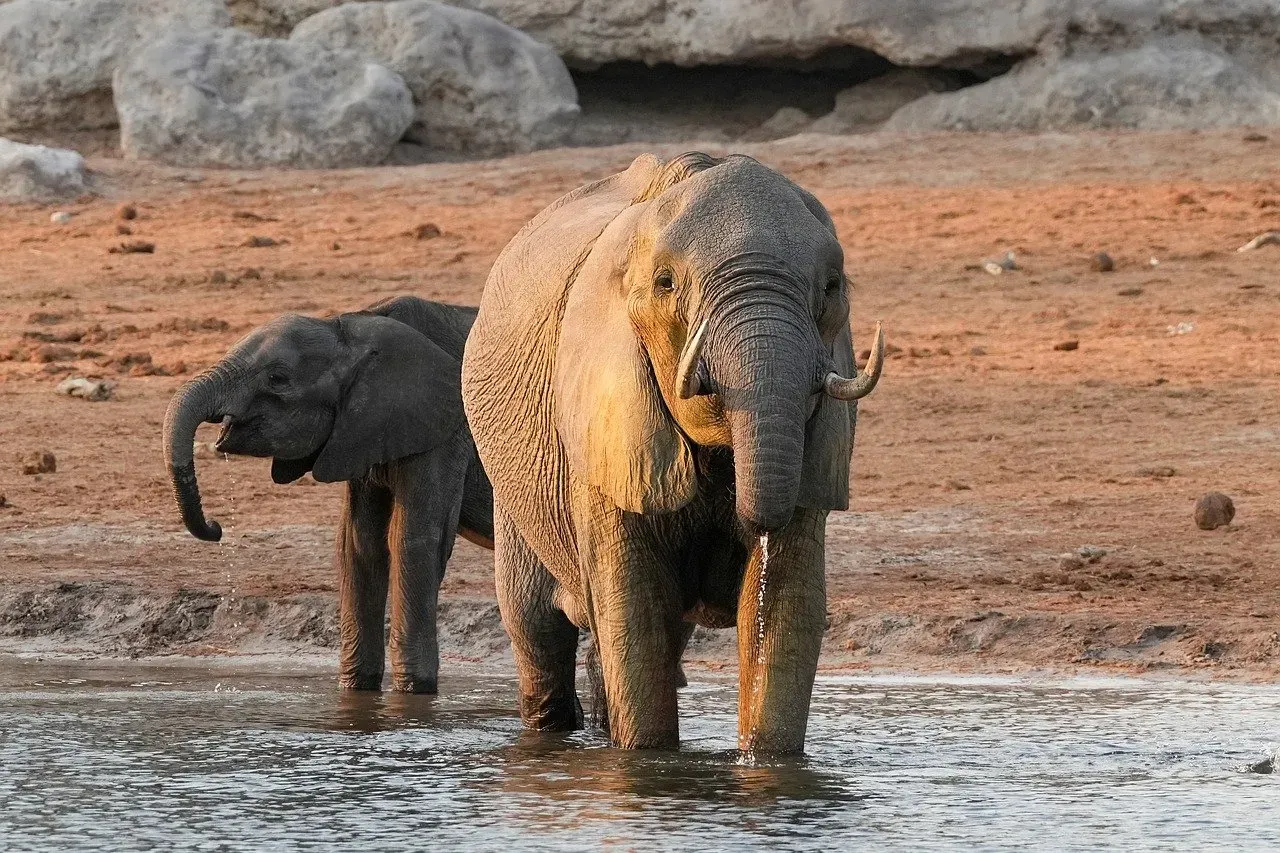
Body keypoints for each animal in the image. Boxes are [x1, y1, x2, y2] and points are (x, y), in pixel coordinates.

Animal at [163, 295, 493, 694]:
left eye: (277, 378)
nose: (216, 528)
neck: (351, 327)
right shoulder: (363, 430)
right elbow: (358, 544)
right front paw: (356, 689)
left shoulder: (445, 429)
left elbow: (412, 541)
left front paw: (414, 692)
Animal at [462, 152, 883, 754]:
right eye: (666, 284)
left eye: (831, 287)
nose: (752, 520)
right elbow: (632, 612)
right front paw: (646, 762)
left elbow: (790, 605)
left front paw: (767, 763)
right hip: (515, 495)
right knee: (538, 631)